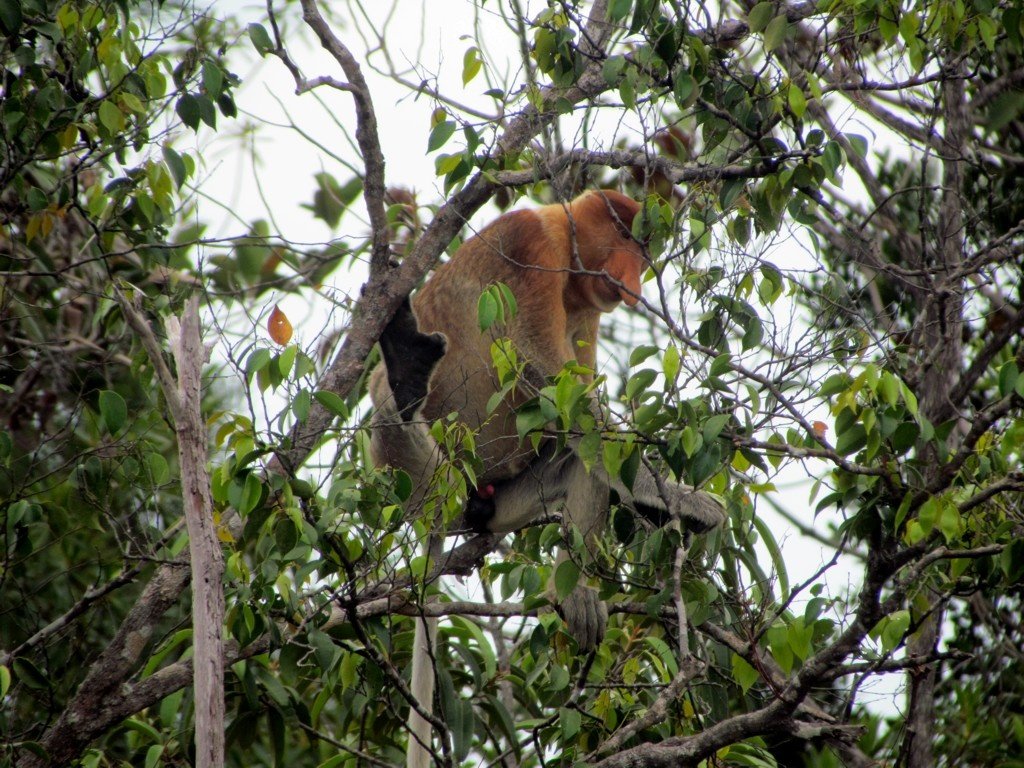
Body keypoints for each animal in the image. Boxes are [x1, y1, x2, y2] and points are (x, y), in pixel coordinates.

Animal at [372, 191, 724, 768]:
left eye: (646, 249)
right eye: (627, 237)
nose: (635, 277)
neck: (564, 236)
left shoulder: (587, 307)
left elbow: (578, 410)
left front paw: (675, 500)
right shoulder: (530, 251)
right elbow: (554, 381)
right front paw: (679, 497)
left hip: (504, 497)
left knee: (581, 464)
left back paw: (573, 597)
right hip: (416, 480)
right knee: (388, 409)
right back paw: (405, 369)